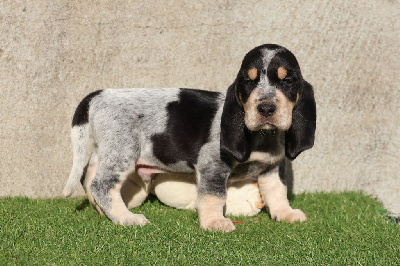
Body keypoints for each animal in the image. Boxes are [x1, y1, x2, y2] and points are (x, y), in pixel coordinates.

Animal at [63, 43, 316, 231]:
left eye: (287, 81)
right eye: (248, 81)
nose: (265, 108)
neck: (262, 137)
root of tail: (100, 95)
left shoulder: (272, 169)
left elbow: (277, 193)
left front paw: (286, 214)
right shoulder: (212, 166)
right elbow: (214, 195)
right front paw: (215, 222)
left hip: (106, 151)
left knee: (90, 179)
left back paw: (103, 211)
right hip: (123, 151)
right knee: (102, 185)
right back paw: (126, 218)